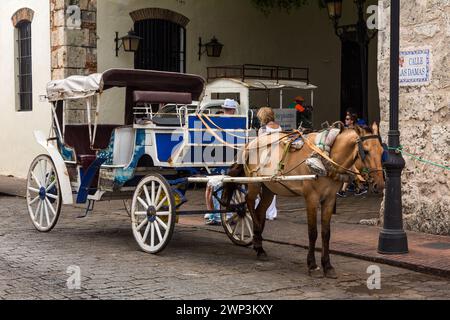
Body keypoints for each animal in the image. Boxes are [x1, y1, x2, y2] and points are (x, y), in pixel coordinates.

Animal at [227, 122, 384, 278]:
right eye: (366, 151)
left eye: (382, 151)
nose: (380, 184)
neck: (326, 157)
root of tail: (250, 143)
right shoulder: (311, 198)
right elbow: (312, 232)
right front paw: (312, 265)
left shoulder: (329, 199)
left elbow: (326, 233)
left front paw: (327, 266)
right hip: (254, 183)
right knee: (249, 203)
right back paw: (255, 230)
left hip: (269, 188)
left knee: (260, 210)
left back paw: (259, 247)